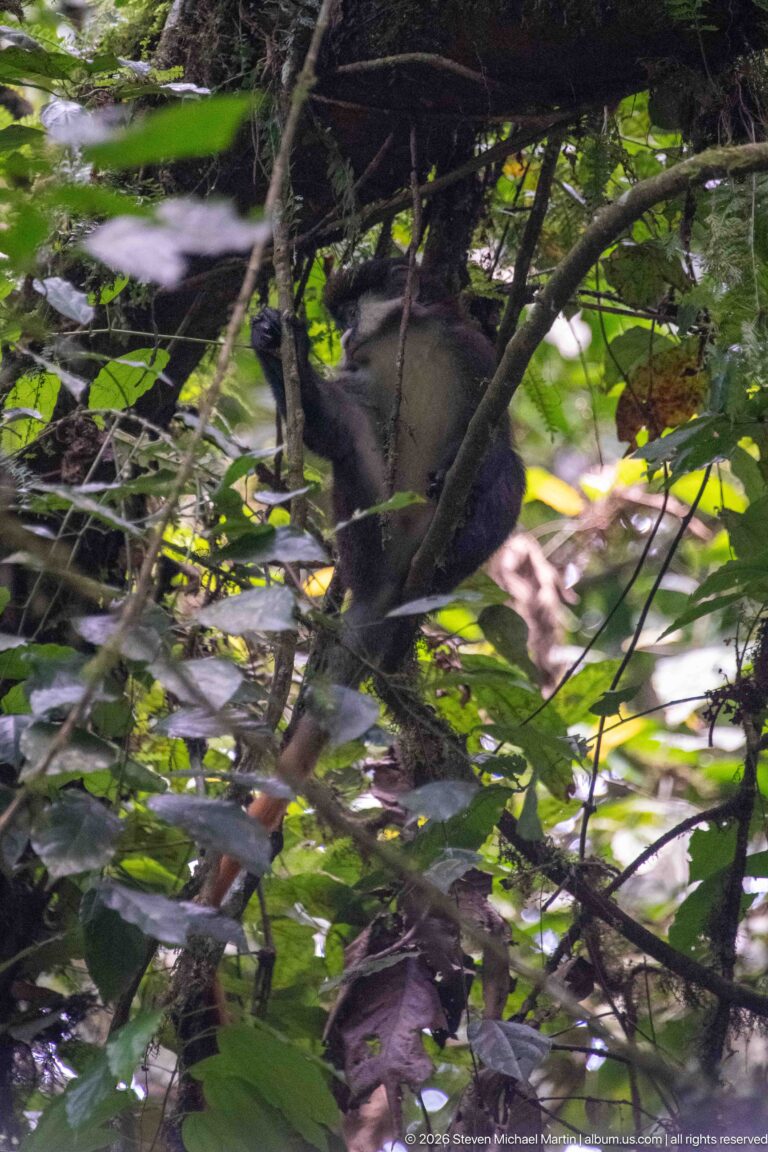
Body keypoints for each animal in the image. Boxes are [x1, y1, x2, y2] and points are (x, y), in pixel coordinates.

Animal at [208, 258, 524, 907]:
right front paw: (274, 339)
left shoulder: (478, 352)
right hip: (366, 531)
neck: (414, 341)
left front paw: (458, 471)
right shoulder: (357, 376)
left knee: (507, 472)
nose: (348, 332)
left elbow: (495, 432)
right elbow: (327, 431)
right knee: (350, 445)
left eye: (353, 311)